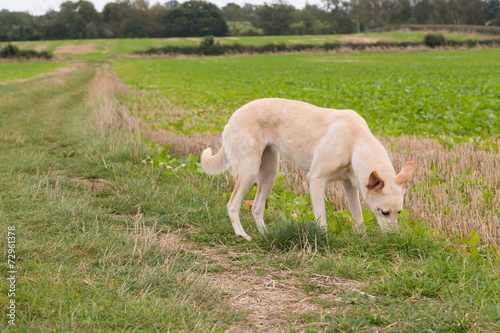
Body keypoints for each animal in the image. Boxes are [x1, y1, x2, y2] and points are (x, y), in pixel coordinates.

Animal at [201, 97, 416, 240]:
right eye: (384, 212)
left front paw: (361, 238)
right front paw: (325, 239)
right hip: (249, 170)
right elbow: (322, 218)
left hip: (270, 174)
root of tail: (233, 116)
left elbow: (358, 217)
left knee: (256, 207)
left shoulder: (349, 186)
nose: (394, 238)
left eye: (399, 213)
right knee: (232, 205)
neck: (356, 141)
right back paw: (242, 235)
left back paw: (265, 233)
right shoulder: (316, 180)